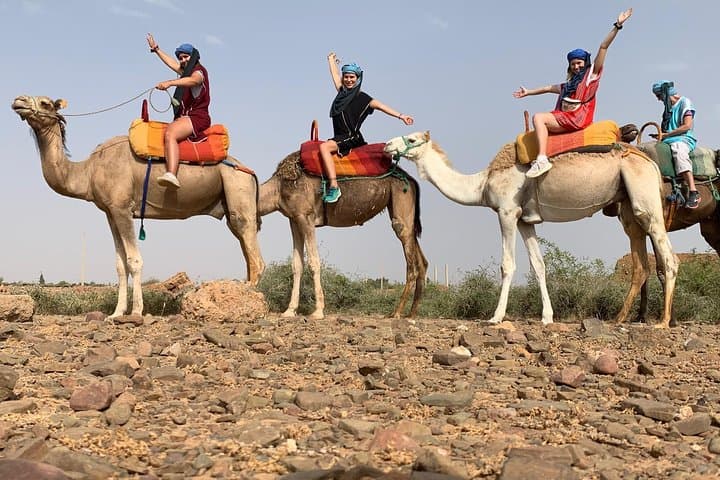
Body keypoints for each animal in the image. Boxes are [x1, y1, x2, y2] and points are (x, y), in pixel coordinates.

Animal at [12, 95, 264, 317]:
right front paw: (116, 313)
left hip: (237, 187)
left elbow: (134, 260)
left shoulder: (122, 208)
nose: (18, 100)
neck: (88, 170)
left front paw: (136, 311)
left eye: (45, 102)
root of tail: (249, 170)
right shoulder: (110, 212)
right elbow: (120, 264)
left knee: (254, 252)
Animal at [258, 150, 427, 319]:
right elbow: (297, 265)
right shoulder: (294, 219)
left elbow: (314, 262)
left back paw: (397, 312)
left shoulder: (306, 217)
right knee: (422, 260)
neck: (278, 188)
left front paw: (318, 311)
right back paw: (412, 314)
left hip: (401, 200)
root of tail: (412, 180)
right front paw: (289, 310)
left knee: (410, 258)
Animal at [385, 131, 679, 328]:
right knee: (641, 260)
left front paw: (495, 317)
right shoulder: (525, 220)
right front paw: (547, 317)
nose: (387, 145)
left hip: (644, 197)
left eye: (412, 139)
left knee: (669, 257)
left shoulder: (507, 212)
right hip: (627, 205)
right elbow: (539, 265)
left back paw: (663, 321)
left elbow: (507, 264)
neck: (482, 183)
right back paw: (619, 318)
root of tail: (650, 162)